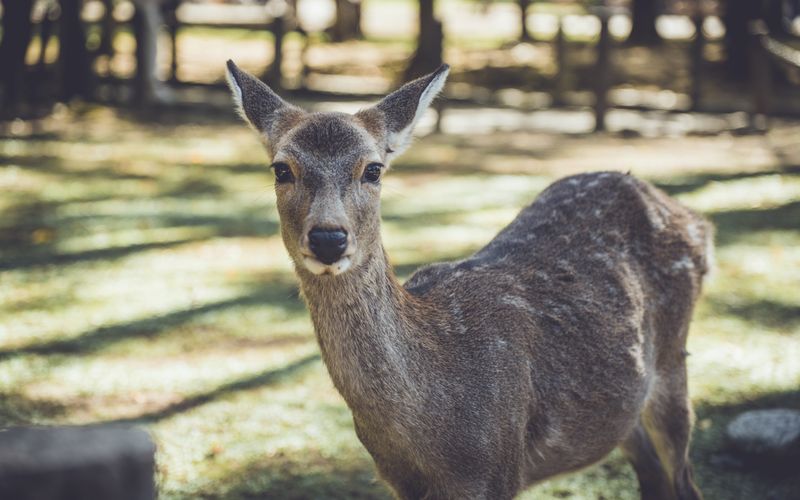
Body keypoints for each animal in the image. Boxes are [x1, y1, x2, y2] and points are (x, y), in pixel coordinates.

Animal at [224, 60, 712, 500]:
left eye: (373, 169)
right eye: (281, 169)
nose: (329, 237)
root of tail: (695, 219)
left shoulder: (496, 472)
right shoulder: (400, 482)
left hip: (673, 361)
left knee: (686, 481)